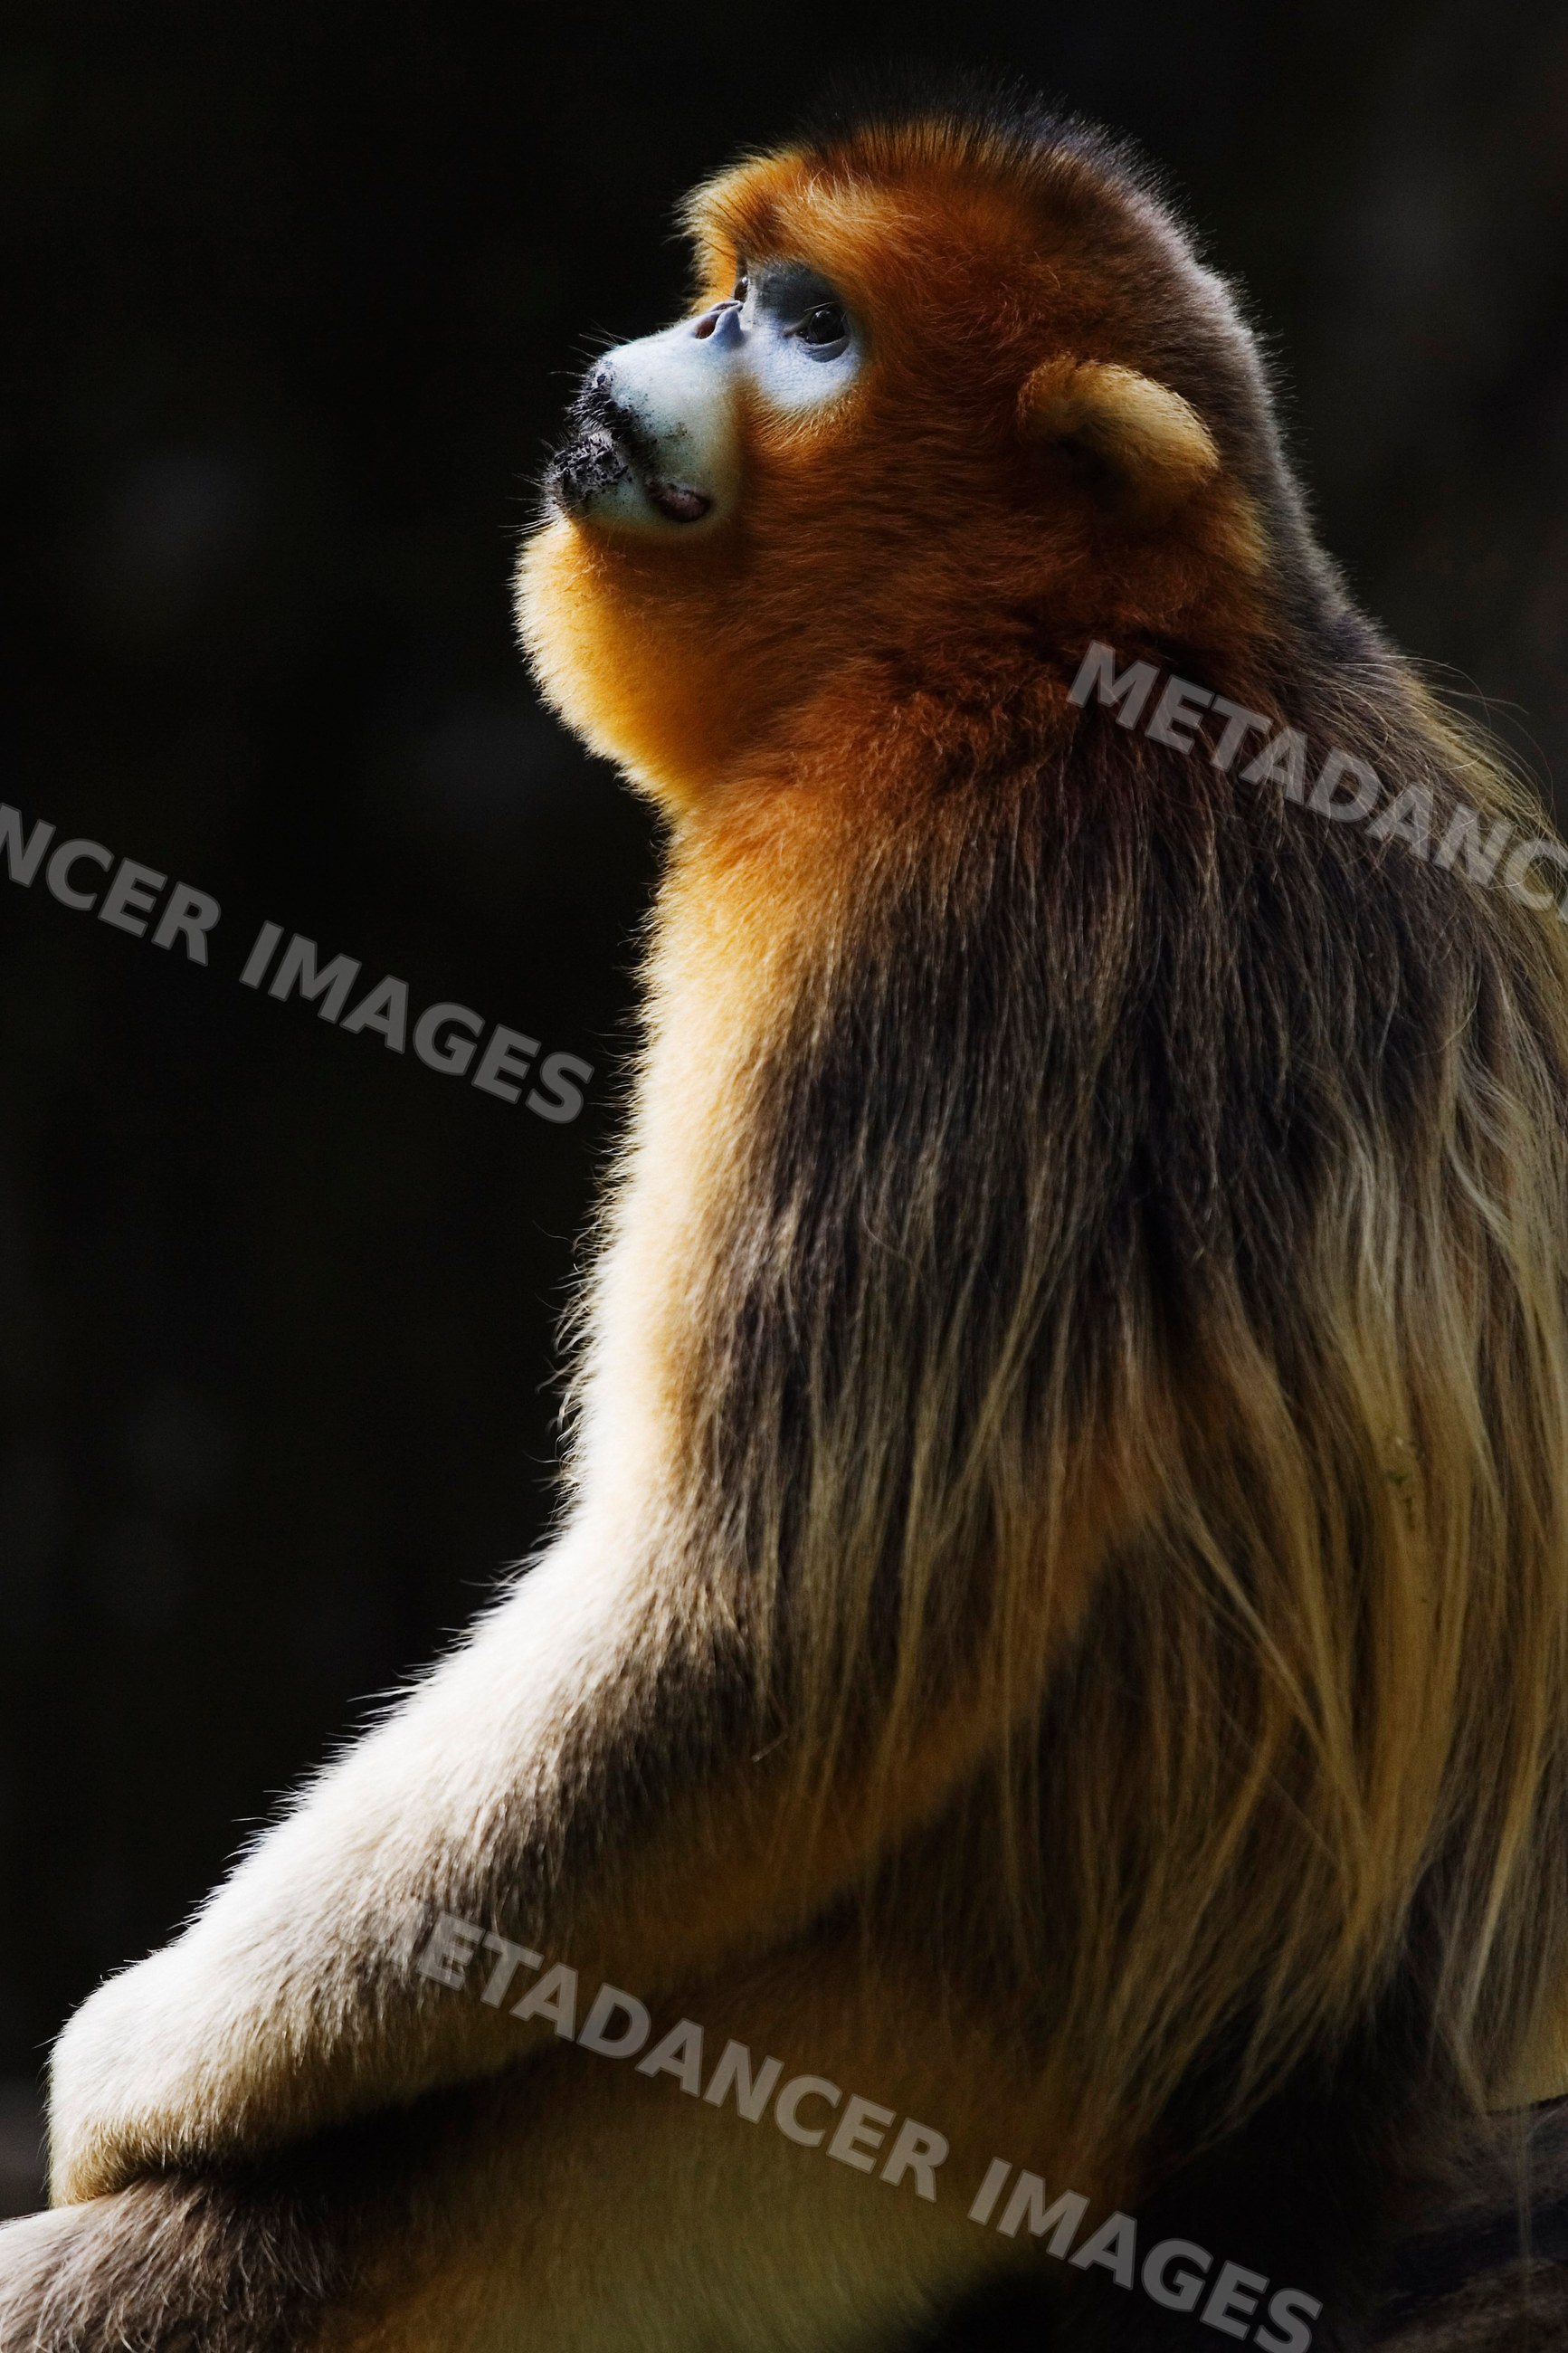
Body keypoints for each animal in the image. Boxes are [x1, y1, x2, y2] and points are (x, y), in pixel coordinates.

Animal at [4, 83, 1568, 2353]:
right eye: (731, 294)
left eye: (808, 327)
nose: (656, 351)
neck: (1114, 656)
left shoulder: (903, 898)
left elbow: (754, 1622)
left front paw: (119, 2073)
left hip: (820, 2135)